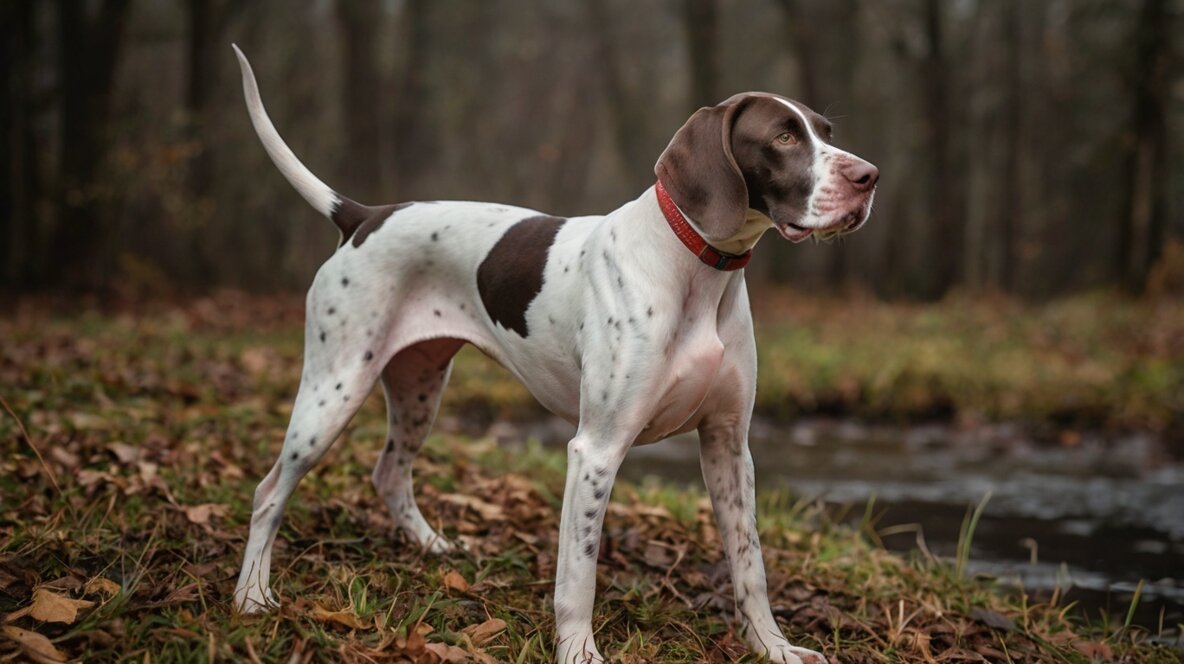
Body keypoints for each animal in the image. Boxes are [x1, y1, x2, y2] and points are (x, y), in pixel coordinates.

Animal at [233, 44, 880, 658]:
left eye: (825, 130)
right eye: (783, 137)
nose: (869, 176)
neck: (695, 268)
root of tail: (365, 216)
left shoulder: (728, 446)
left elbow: (750, 567)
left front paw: (773, 648)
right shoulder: (595, 451)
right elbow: (579, 574)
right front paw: (579, 652)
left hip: (419, 389)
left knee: (389, 473)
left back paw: (434, 548)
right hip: (333, 390)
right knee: (269, 493)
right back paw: (252, 597)